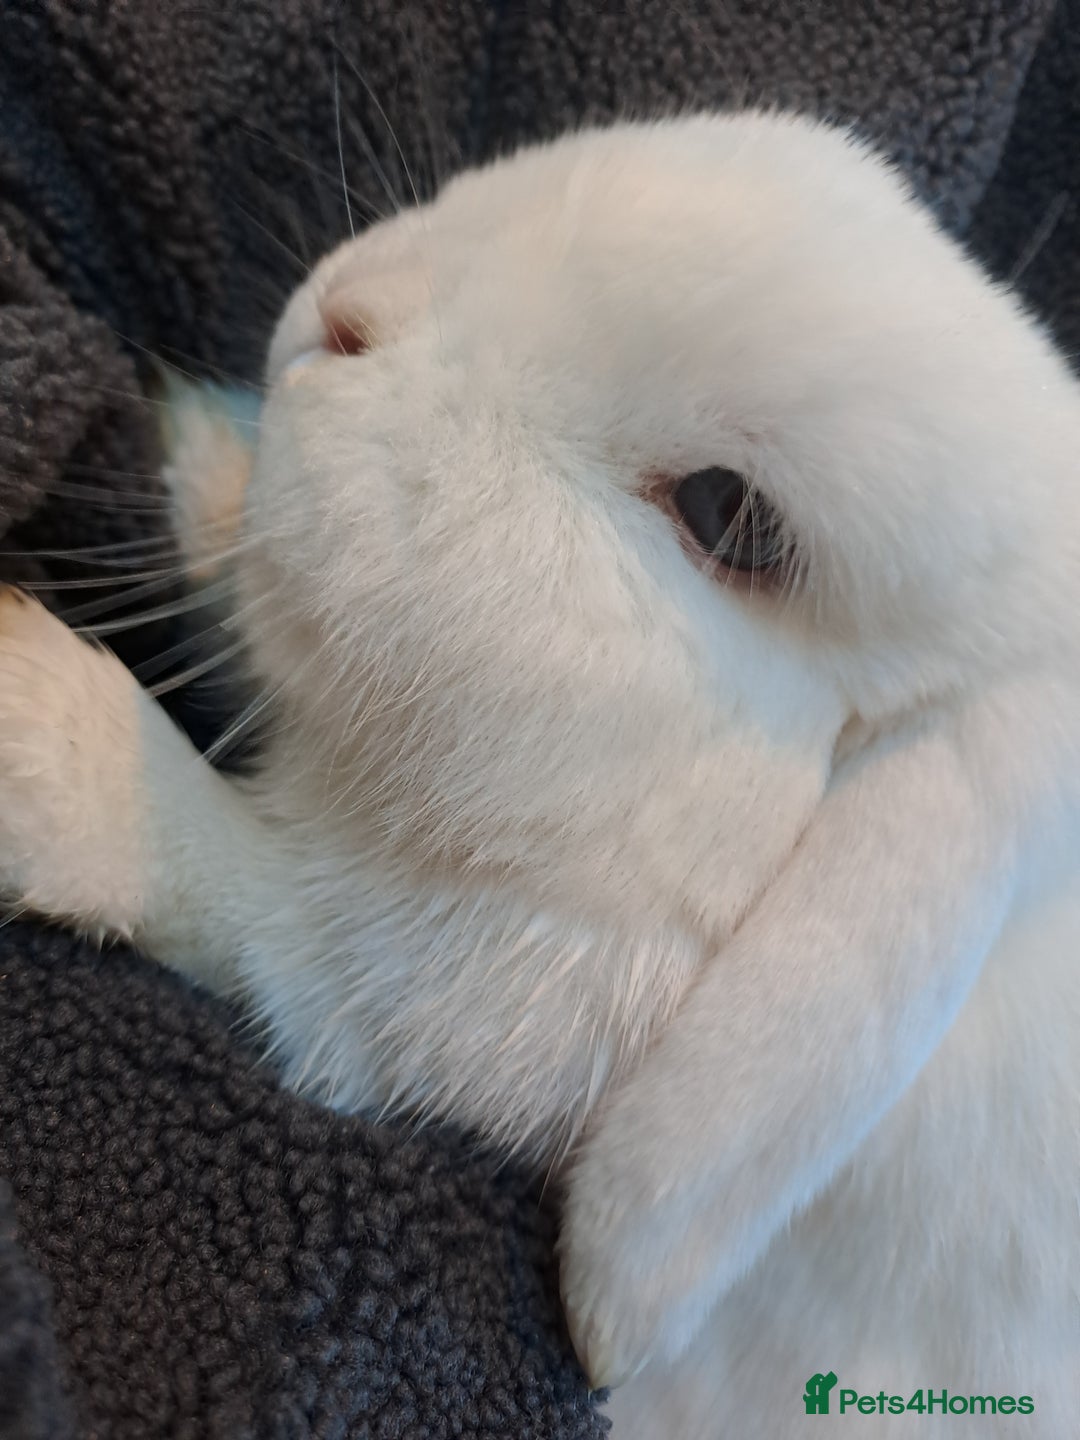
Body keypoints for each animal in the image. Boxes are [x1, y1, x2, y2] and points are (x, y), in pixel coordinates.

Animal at [1, 111, 1079, 1438]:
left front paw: (35, 722)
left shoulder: (428, 996)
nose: (341, 318)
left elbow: (242, 907)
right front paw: (202, 448)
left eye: (726, 516)